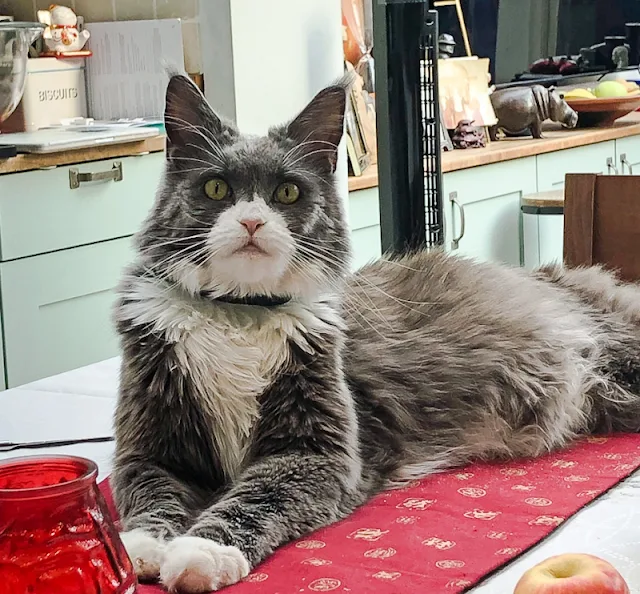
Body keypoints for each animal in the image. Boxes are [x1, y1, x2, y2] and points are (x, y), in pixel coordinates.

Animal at [112, 71, 640, 588]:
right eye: (217, 189)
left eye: (287, 193)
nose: (252, 222)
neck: (239, 314)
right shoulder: (150, 448)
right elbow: (147, 497)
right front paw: (138, 551)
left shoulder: (315, 451)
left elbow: (253, 500)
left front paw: (201, 552)